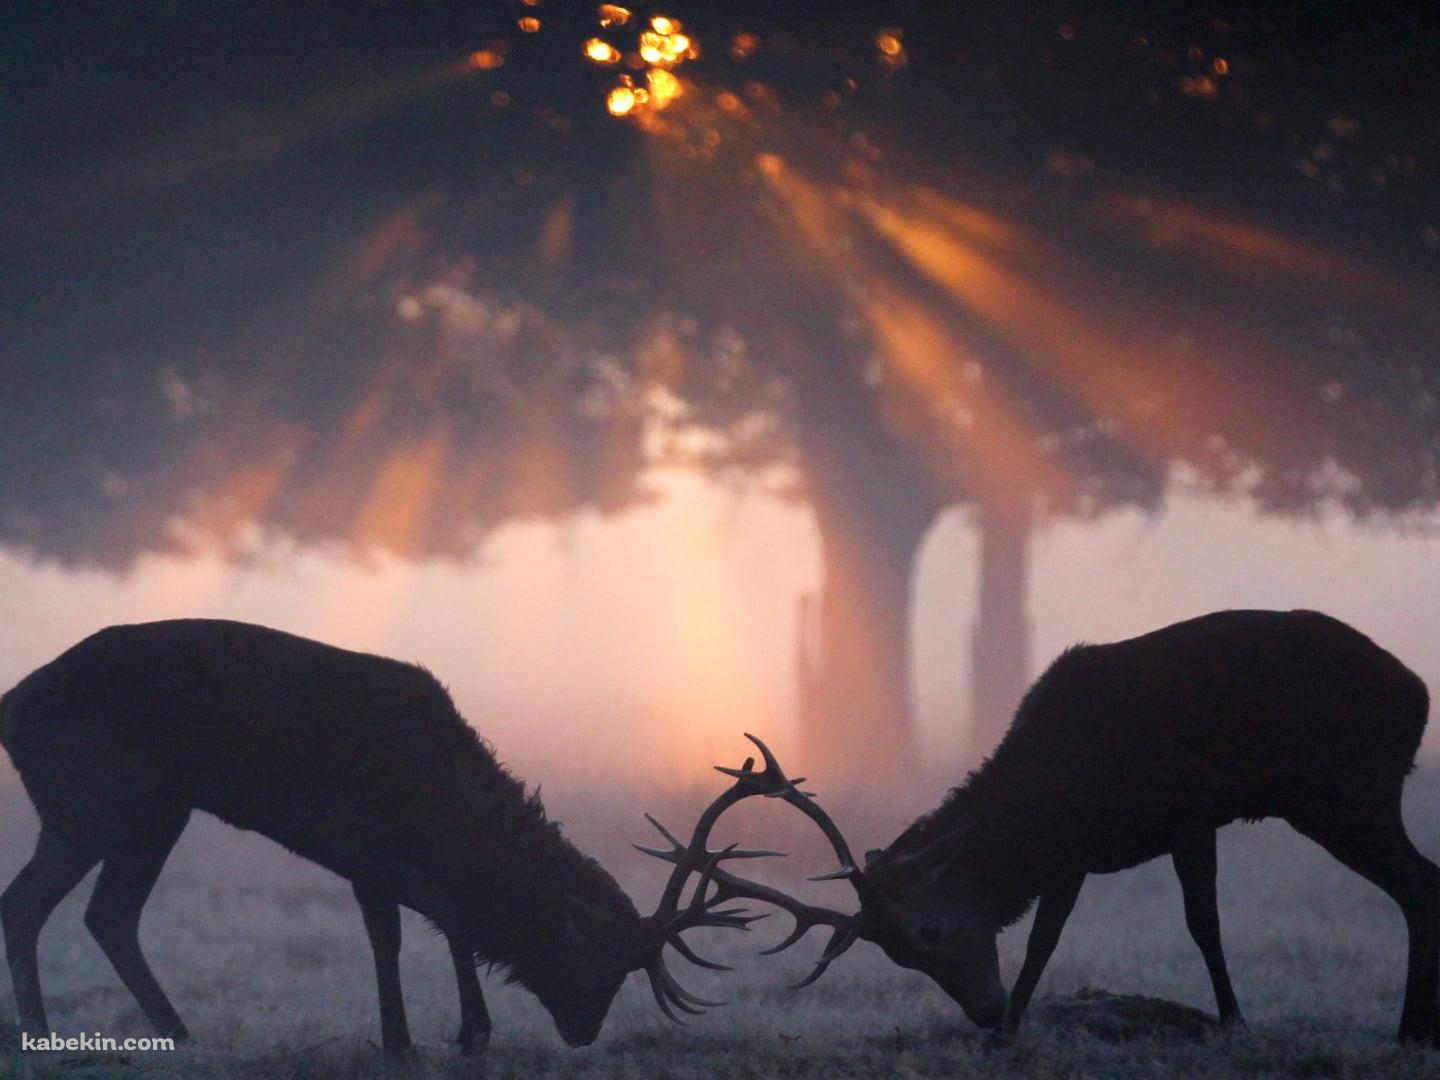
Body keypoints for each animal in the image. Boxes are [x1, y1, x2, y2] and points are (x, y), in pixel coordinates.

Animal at [0, 618, 801, 1055]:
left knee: (109, 914)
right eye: (598, 961)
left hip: (158, 809)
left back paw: (179, 1034)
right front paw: (455, 1034)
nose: (583, 1032)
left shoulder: (370, 855)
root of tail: (12, 710)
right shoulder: (360, 838)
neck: (434, 804)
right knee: (28, 903)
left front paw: (415, 1037)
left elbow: (408, 929)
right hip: (93, 798)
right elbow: (433, 921)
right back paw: (41, 1036)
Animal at [673, 611, 1440, 1044]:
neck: (1048, 801)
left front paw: (1233, 1020)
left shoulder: (1171, 820)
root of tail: (1418, 693)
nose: (983, 1012)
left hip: (1345, 793)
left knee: (1420, 883)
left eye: (931, 930)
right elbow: (1075, 932)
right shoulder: (1098, 847)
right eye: (900, 958)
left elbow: (1177, 925)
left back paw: (1410, 1032)